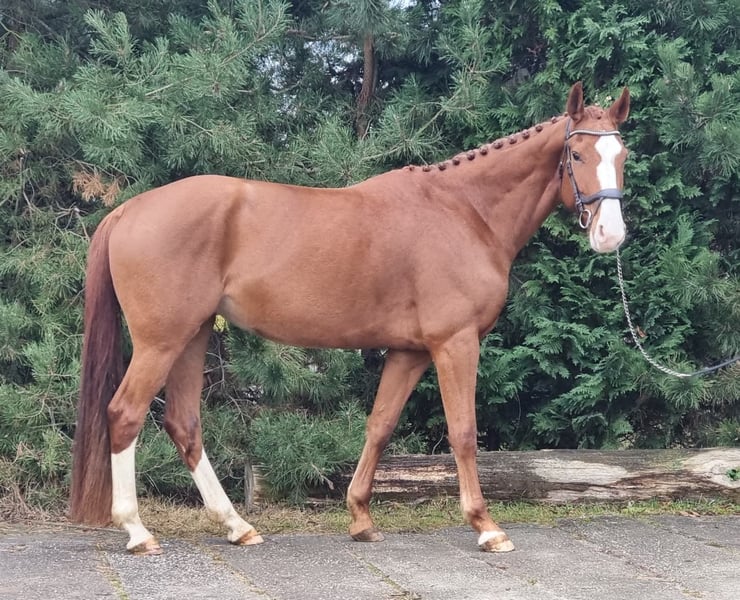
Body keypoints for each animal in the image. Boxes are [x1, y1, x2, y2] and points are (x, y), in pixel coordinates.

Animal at [69, 82, 630, 554]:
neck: (465, 213)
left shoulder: (409, 352)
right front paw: (486, 527)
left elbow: (379, 426)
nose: (611, 234)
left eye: (622, 155)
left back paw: (237, 525)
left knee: (183, 423)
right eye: (577, 154)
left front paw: (360, 519)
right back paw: (138, 532)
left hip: (192, 336)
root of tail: (127, 211)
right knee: (124, 414)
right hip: (160, 341)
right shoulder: (455, 343)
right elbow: (463, 431)